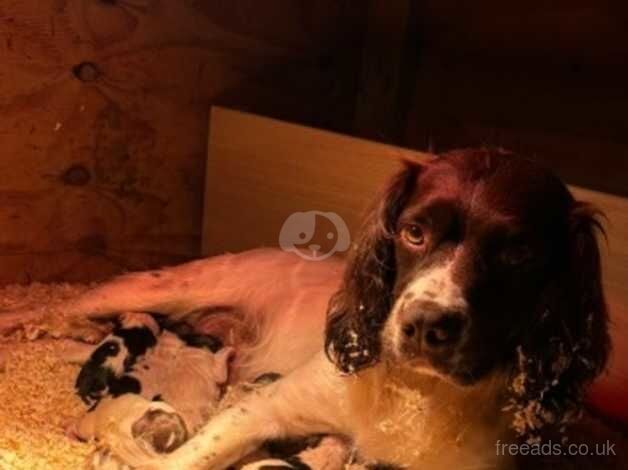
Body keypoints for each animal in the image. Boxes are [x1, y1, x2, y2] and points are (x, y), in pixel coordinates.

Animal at [0, 150, 612, 470]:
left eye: (518, 253)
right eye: (413, 232)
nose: (424, 325)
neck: (415, 394)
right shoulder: (267, 408)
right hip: (156, 290)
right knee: (70, 307)